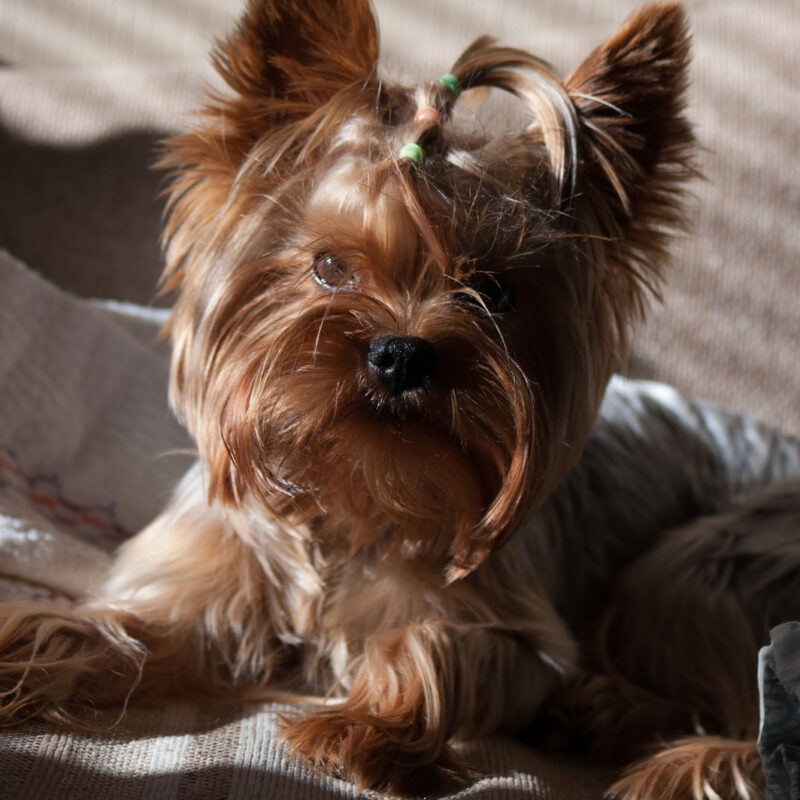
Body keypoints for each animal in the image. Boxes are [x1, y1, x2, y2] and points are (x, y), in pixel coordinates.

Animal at [1, 1, 800, 800]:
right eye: (329, 266)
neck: (353, 491)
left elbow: (428, 645)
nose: (402, 353)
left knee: (753, 713)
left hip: (707, 566)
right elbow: (128, 628)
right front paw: (24, 649)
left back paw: (628, 729)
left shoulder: (510, 630)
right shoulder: (210, 581)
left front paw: (362, 726)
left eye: (496, 292)